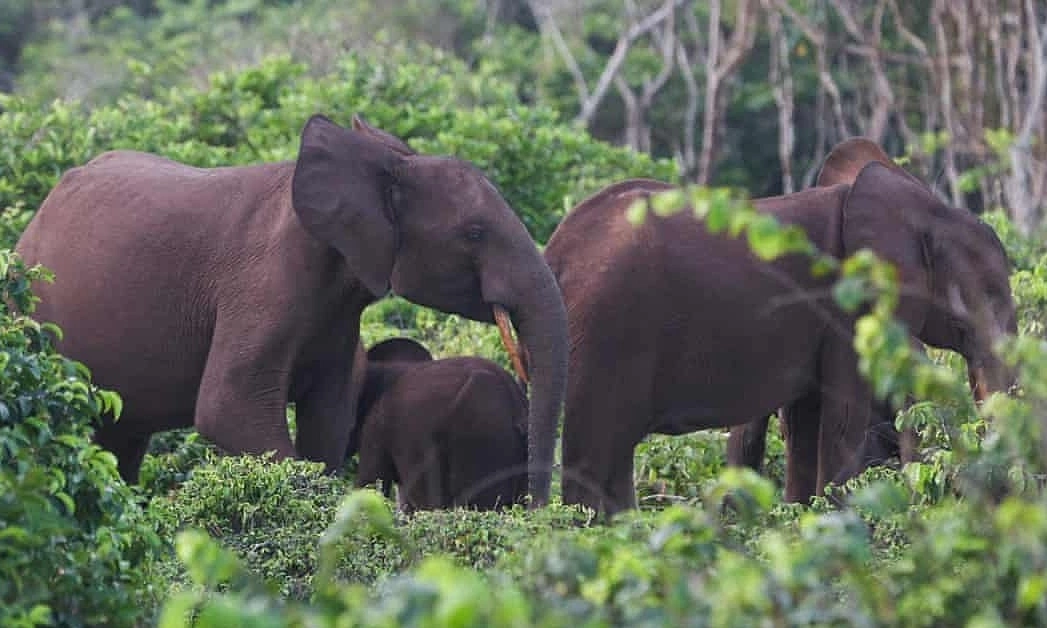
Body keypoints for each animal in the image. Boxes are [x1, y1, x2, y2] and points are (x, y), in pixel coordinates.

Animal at [544, 137, 1016, 514]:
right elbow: (841, 417)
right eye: (989, 296)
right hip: (606, 328)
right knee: (595, 451)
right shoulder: (846, 307)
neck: (924, 208)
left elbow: (807, 419)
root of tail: (556, 249)